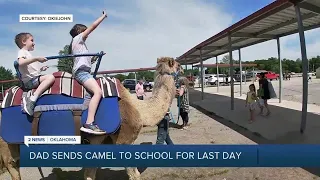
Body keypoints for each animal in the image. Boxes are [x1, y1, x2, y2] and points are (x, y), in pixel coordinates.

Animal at [0, 56, 184, 180]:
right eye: (178, 65)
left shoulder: (97, 142)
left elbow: (90, 174)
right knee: (12, 165)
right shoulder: (123, 140)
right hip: (7, 144)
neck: (138, 109)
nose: (184, 73)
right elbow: (134, 175)